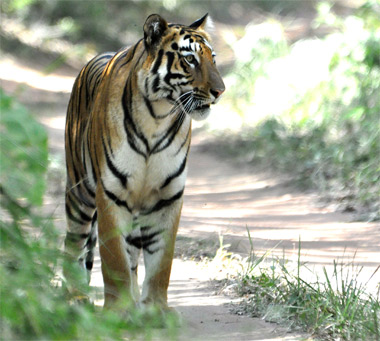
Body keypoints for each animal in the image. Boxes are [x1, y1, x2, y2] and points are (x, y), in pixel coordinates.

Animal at [64, 11, 226, 312]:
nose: (220, 91)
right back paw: (74, 296)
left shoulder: (167, 196)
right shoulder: (111, 194)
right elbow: (114, 258)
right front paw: (117, 311)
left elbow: (161, 261)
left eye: (213, 59)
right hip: (80, 192)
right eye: (190, 59)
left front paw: (154, 309)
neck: (157, 116)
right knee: (74, 244)